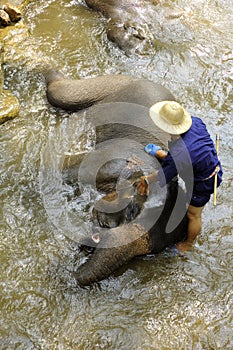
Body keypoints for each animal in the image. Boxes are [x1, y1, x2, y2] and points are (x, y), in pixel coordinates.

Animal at [42, 69, 187, 286]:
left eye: (148, 252)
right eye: (132, 211)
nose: (89, 243)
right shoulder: (108, 163)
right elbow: (68, 170)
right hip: (113, 84)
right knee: (61, 93)